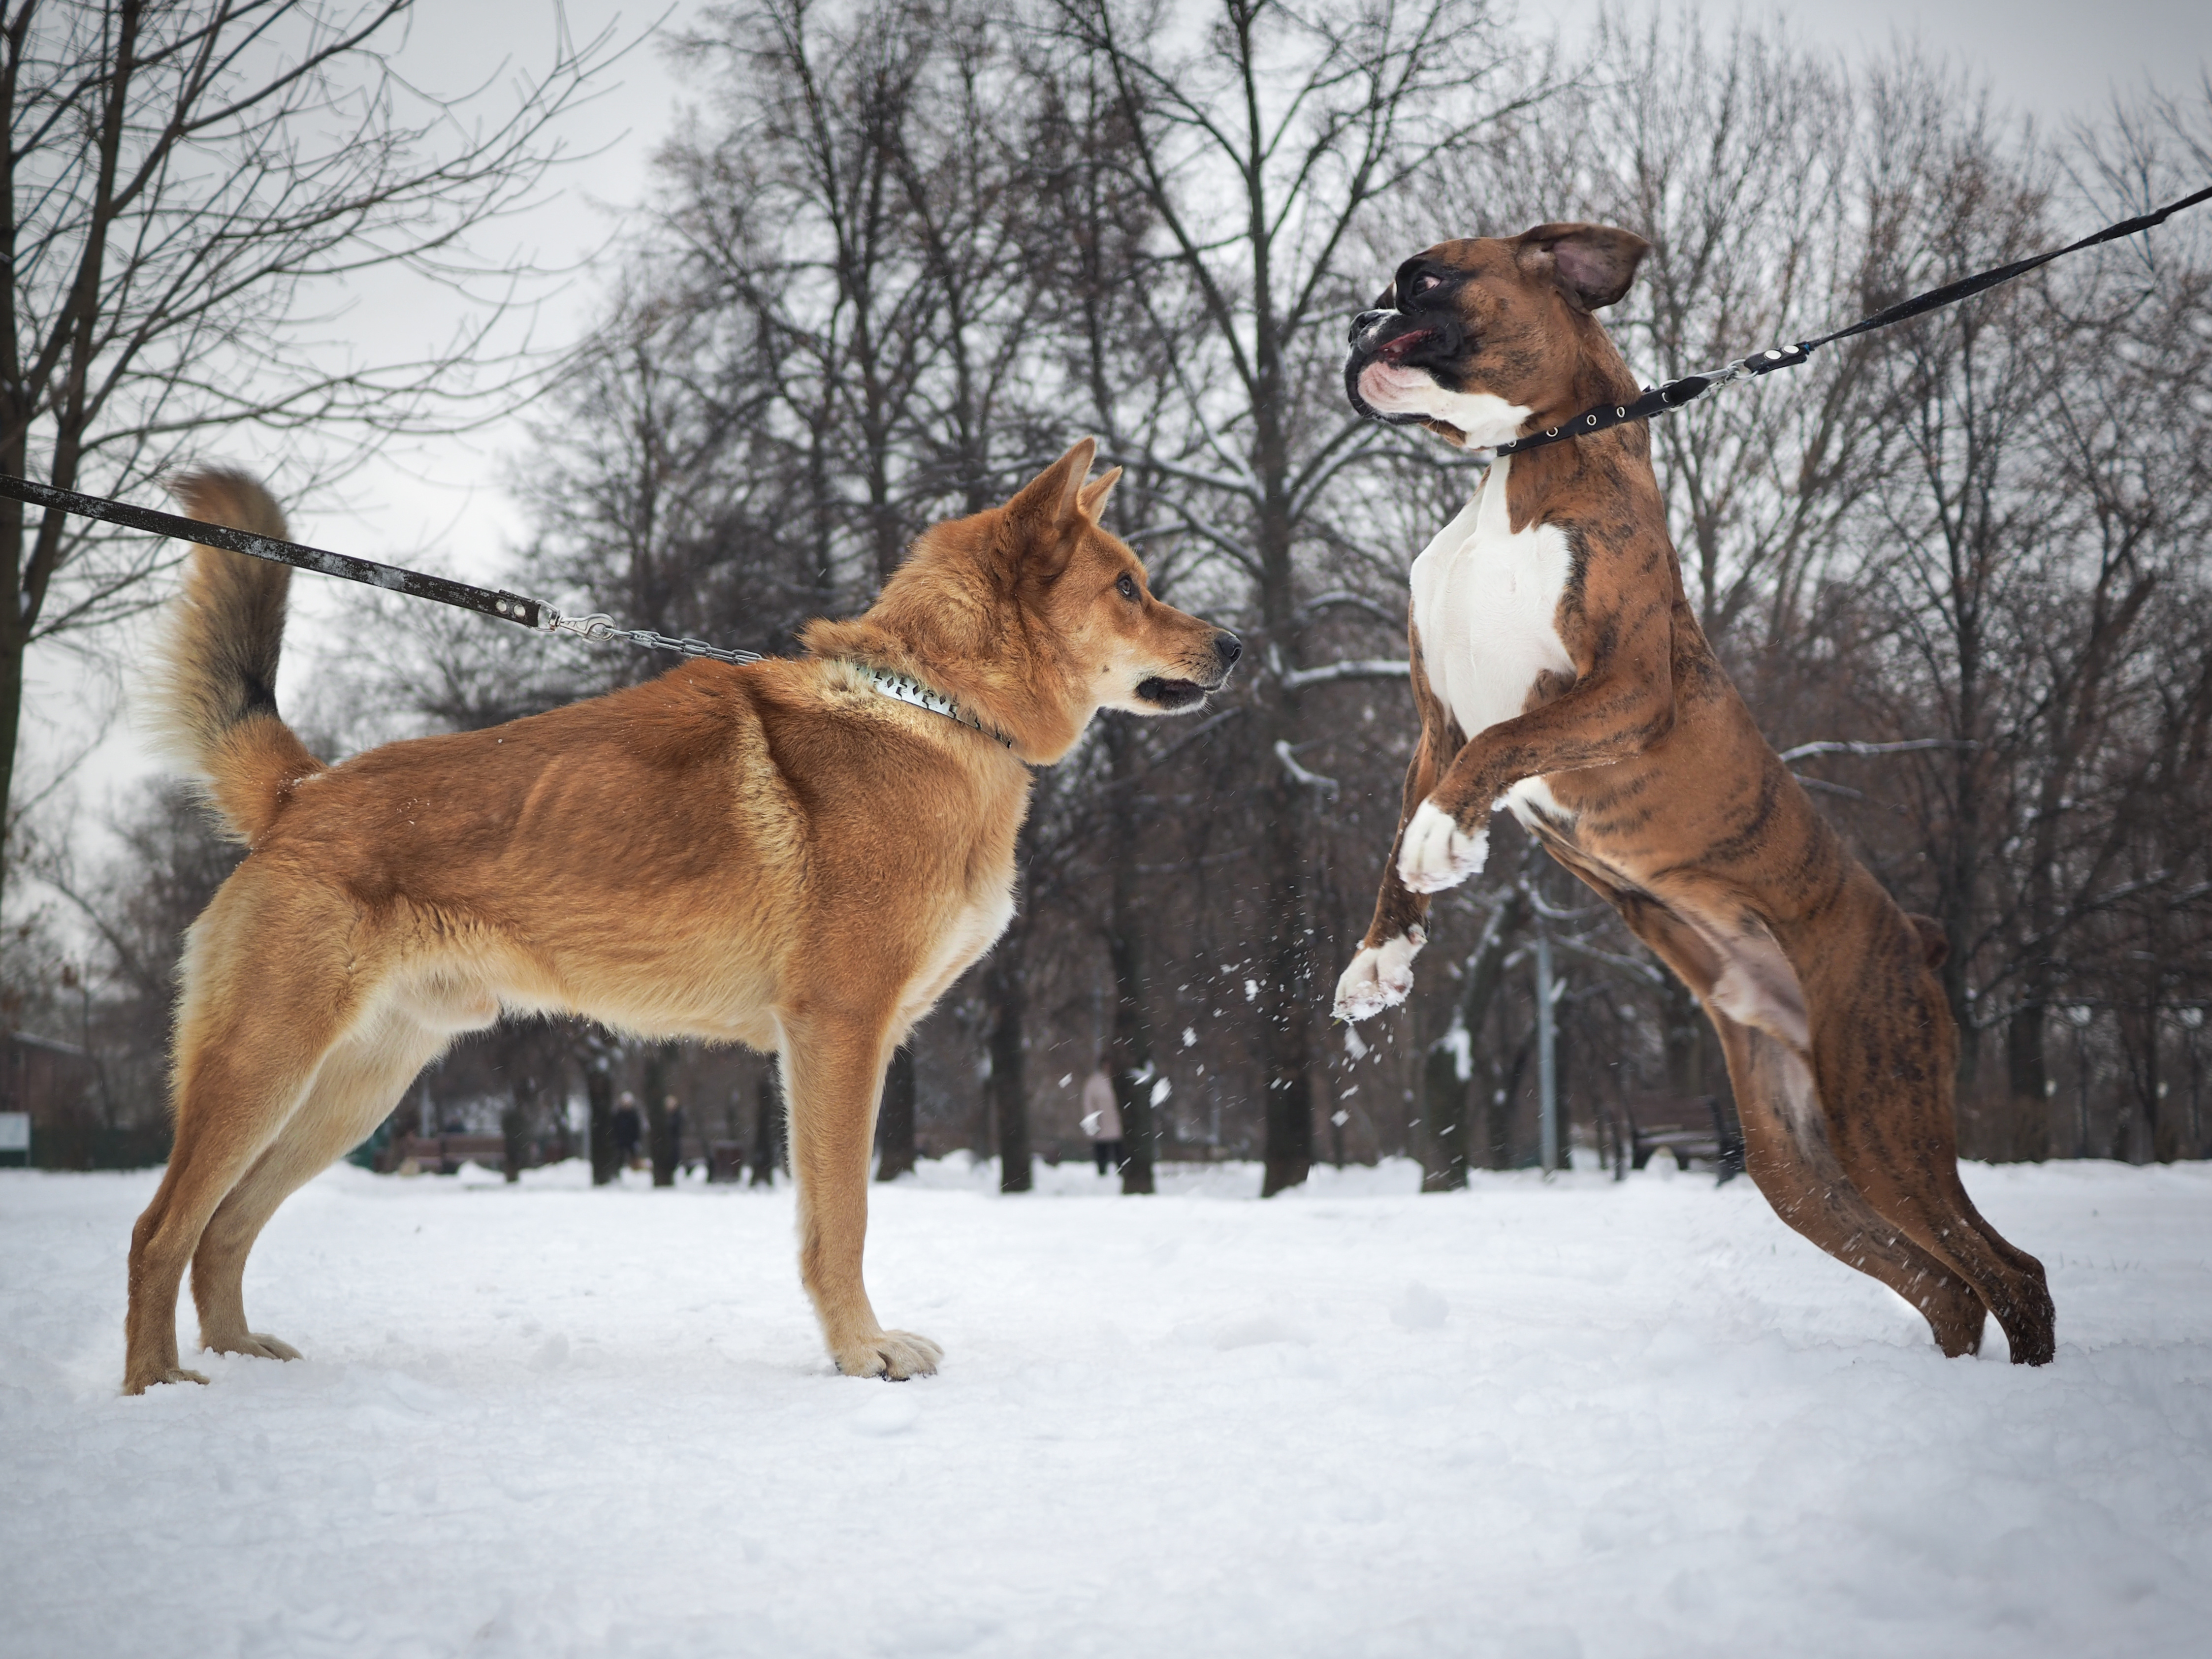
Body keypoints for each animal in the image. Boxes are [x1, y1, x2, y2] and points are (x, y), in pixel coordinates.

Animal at [125, 436, 1248, 1398]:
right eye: (1128, 587)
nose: (1235, 644)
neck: (931, 706)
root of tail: (302, 791)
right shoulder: (837, 1035)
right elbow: (841, 1220)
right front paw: (861, 1353)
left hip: (353, 1089)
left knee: (223, 1230)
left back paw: (240, 1361)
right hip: (265, 1065)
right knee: (160, 1230)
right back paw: (159, 1387)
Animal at [1327, 227, 2052, 1371]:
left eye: (1424, 279)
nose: (1356, 319)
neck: (1524, 462)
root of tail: (1913, 937)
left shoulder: (1621, 689)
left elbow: (1497, 748)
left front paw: (1447, 835)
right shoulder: (1431, 722)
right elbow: (1405, 832)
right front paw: (1378, 959)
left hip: (1879, 1113)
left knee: (2009, 1273)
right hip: (1797, 1162)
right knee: (1944, 1284)